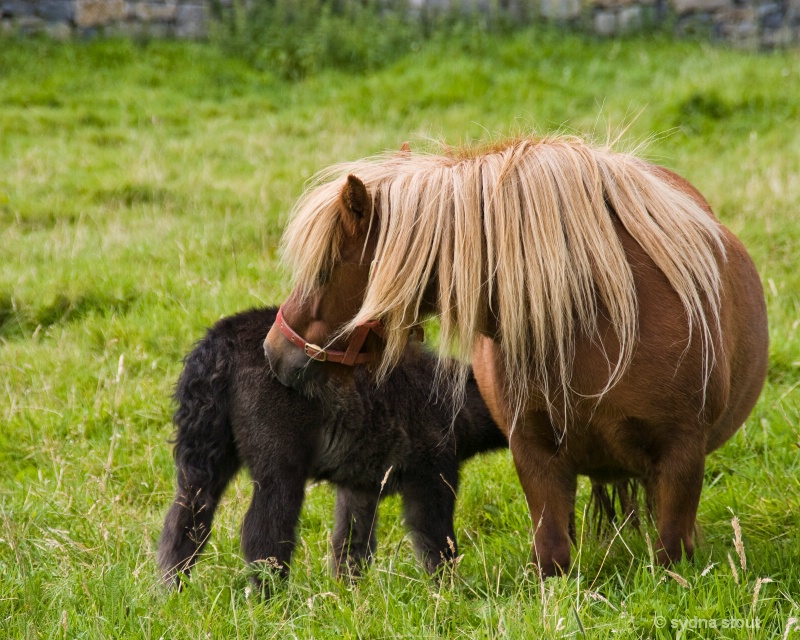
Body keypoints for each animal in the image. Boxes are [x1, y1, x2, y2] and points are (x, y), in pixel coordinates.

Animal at [266, 135, 772, 576]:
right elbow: (552, 556)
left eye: (325, 270)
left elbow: (671, 557)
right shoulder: (532, 453)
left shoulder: (682, 456)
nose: (274, 353)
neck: (592, 323)